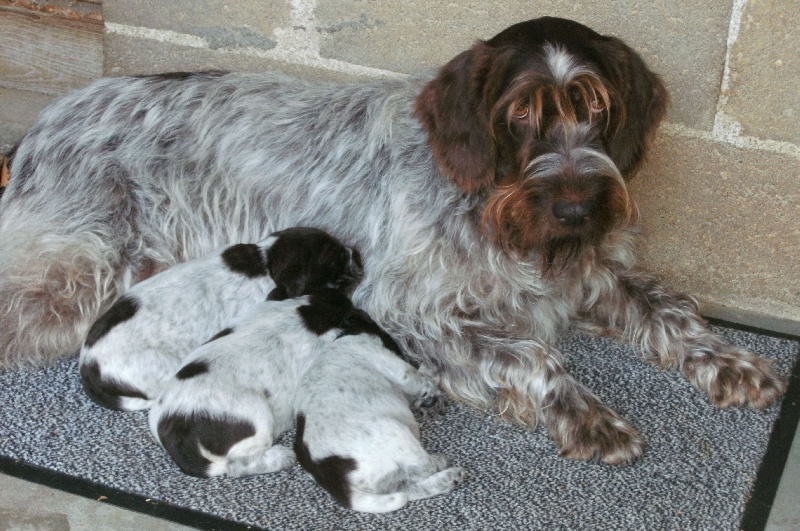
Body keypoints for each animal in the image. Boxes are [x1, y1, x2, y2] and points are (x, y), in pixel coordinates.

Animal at [296, 310, 468, 512]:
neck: (347, 334)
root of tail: (334, 479)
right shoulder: (392, 365)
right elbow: (419, 378)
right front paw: (431, 381)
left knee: (409, 491)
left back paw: (448, 479)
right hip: (396, 432)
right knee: (423, 469)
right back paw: (442, 463)